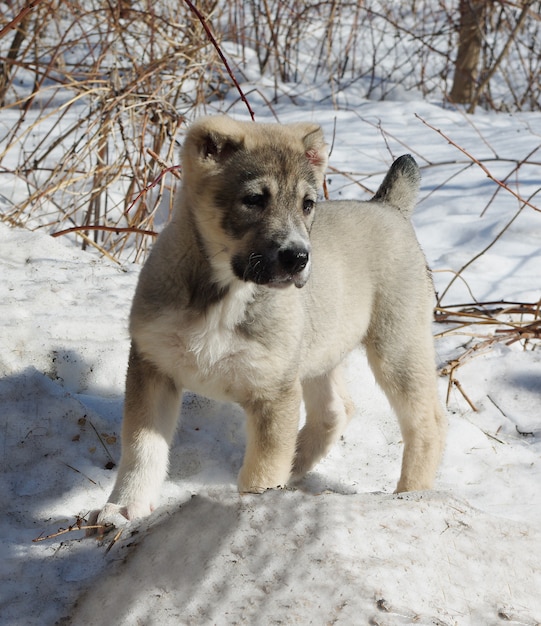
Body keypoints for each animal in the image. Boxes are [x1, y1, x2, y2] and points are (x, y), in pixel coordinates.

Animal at [92, 116, 442, 520]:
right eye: (255, 200)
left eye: (308, 204)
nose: (299, 258)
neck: (226, 294)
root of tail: (389, 207)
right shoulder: (153, 367)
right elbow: (141, 450)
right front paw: (124, 507)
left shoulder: (274, 393)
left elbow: (262, 469)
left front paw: (254, 508)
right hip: (319, 351)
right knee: (336, 410)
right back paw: (298, 464)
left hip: (397, 346)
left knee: (427, 423)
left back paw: (412, 495)